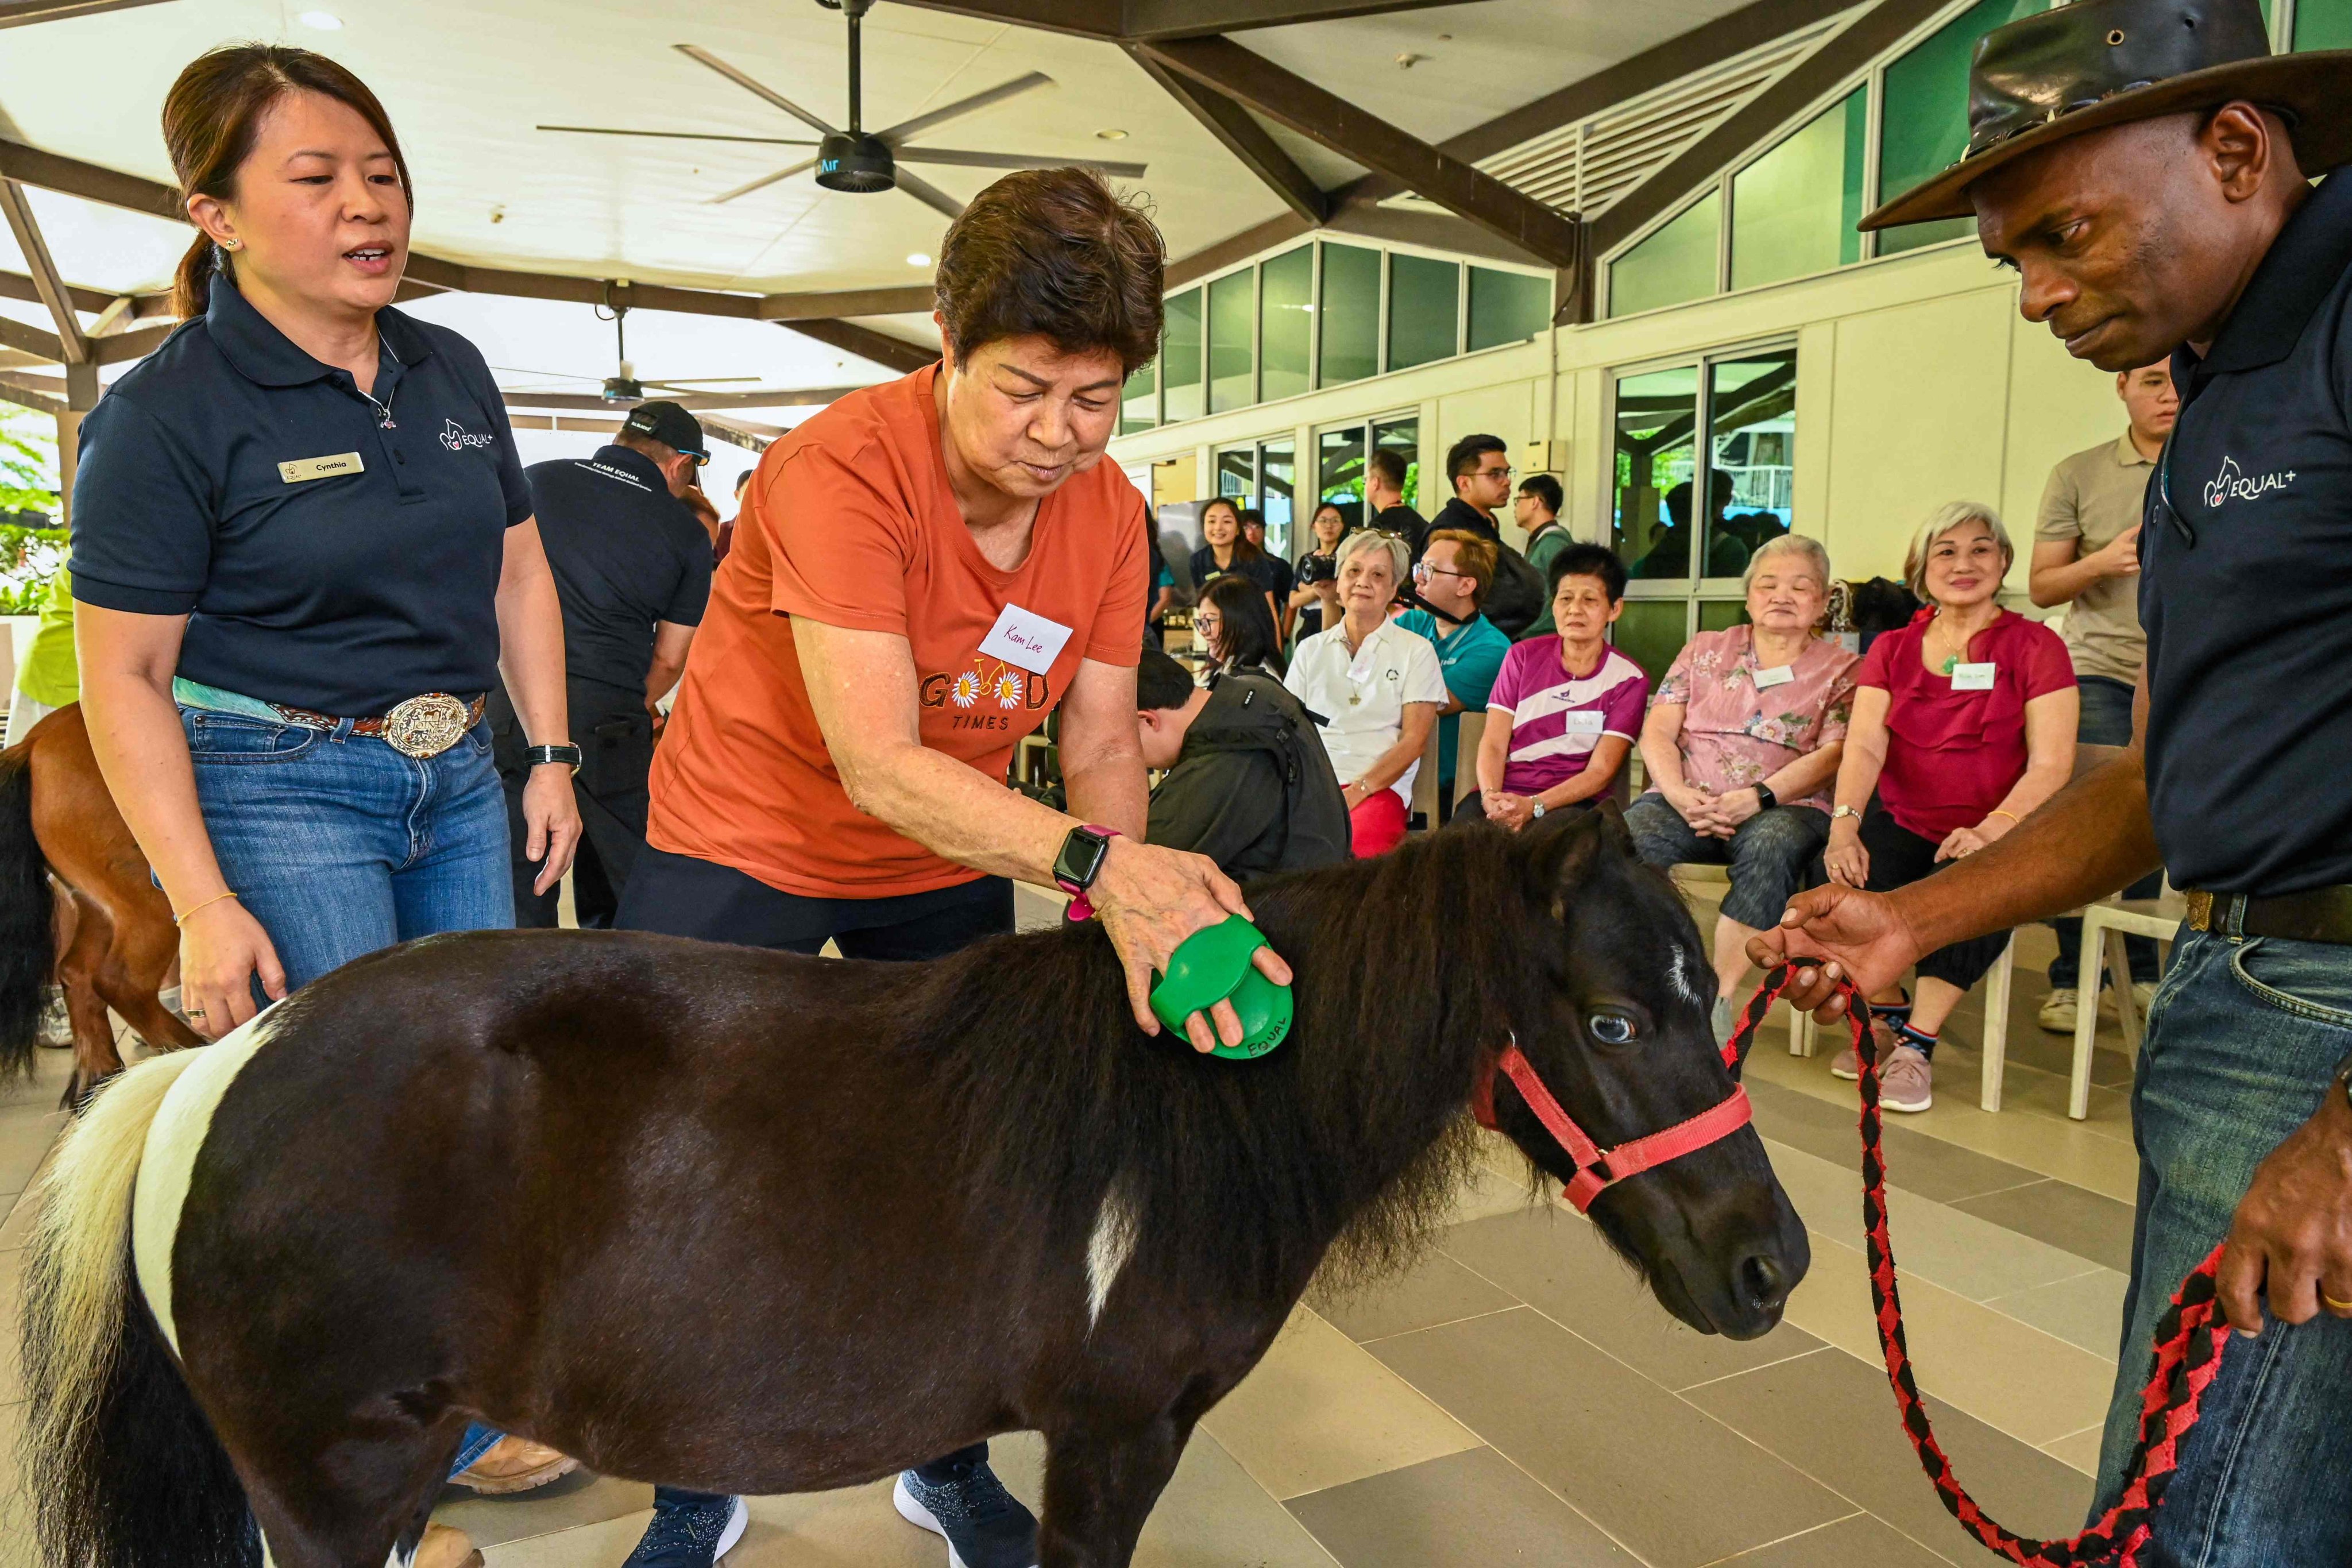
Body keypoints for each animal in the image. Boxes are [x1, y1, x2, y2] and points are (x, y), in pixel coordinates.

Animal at [0, 705, 197, 1109]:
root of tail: (33, 744)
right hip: (154, 902)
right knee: (120, 983)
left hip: (97, 906)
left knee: (76, 974)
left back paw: (100, 1081)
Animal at [18, 808, 1806, 1568]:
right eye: (1612, 1020)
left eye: (1715, 992)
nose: (1772, 1265)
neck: (1198, 1110)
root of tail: (219, 1063)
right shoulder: (1115, 1440)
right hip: (335, 1492)